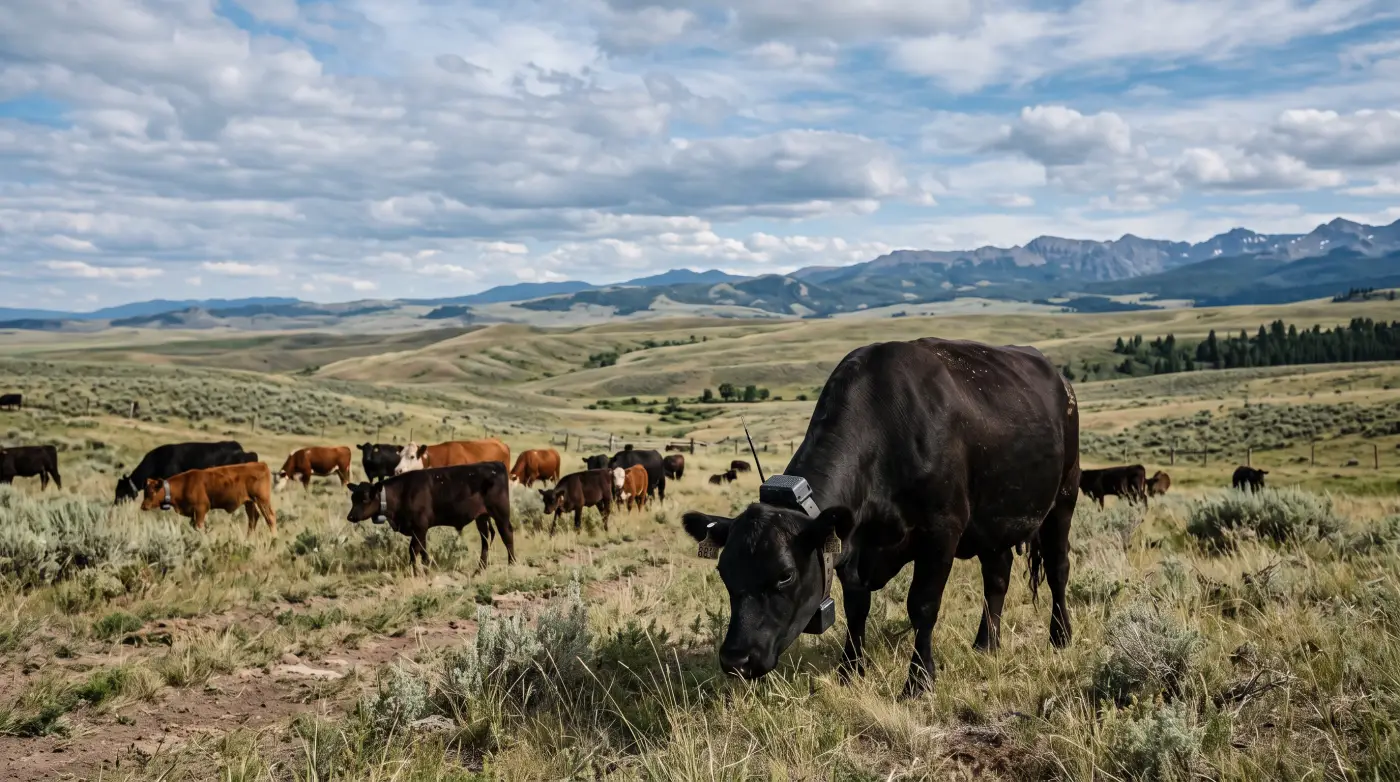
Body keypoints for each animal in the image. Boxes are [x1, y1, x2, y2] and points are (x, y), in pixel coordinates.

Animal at [141, 461, 276, 535]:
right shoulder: (193, 513)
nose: (143, 506)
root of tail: (260, 464)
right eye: (145, 491)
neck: (185, 484)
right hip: (249, 502)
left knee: (270, 518)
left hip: (262, 500)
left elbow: (199, 527)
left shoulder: (201, 509)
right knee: (253, 519)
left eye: (152, 491)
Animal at [345, 462, 515, 574]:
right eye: (353, 498)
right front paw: (426, 568)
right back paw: (480, 569)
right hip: (482, 516)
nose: (350, 516)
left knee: (507, 534)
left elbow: (413, 550)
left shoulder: (419, 526)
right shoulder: (419, 529)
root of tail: (495, 464)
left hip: (500, 512)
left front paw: (414, 572)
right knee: (485, 538)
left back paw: (511, 564)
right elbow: (423, 549)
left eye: (365, 498)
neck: (401, 493)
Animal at [680, 338, 1079, 697]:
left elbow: (922, 606)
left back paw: (1060, 637)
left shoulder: (941, 533)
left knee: (1057, 569)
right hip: (993, 522)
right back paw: (985, 644)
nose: (736, 660)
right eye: (724, 572)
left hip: (1064, 497)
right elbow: (857, 609)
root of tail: (1058, 376)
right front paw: (850, 670)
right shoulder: (849, 546)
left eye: (785, 576)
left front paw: (919, 681)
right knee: (997, 576)